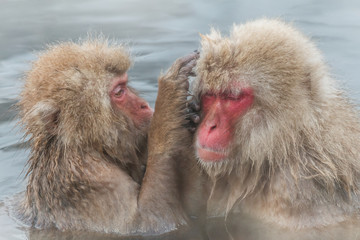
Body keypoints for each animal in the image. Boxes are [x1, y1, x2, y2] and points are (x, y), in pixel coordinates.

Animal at [14, 39, 205, 234]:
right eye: (119, 92)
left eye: (124, 84)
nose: (144, 105)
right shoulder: (93, 181)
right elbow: (150, 222)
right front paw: (170, 95)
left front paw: (189, 117)